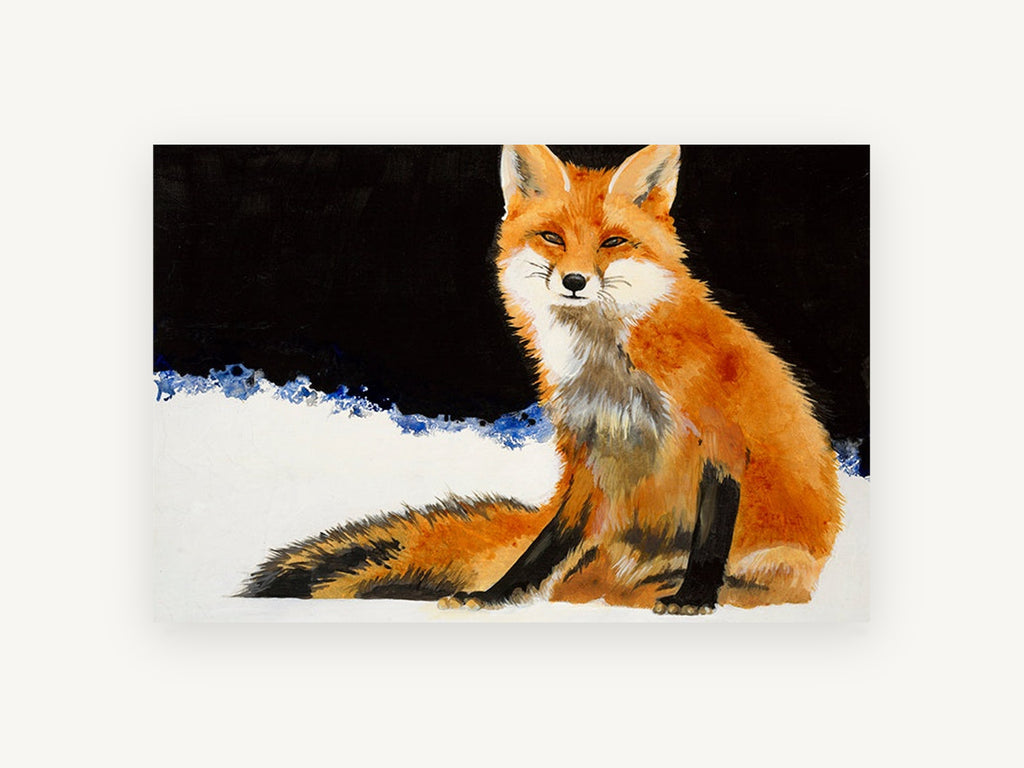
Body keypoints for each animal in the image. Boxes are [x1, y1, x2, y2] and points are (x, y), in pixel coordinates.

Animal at [241, 145, 844, 615]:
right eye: (553, 237)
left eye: (612, 243)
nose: (575, 281)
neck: (611, 373)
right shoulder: (587, 456)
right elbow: (545, 545)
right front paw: (496, 595)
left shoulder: (720, 438)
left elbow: (710, 537)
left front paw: (694, 596)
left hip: (779, 563)